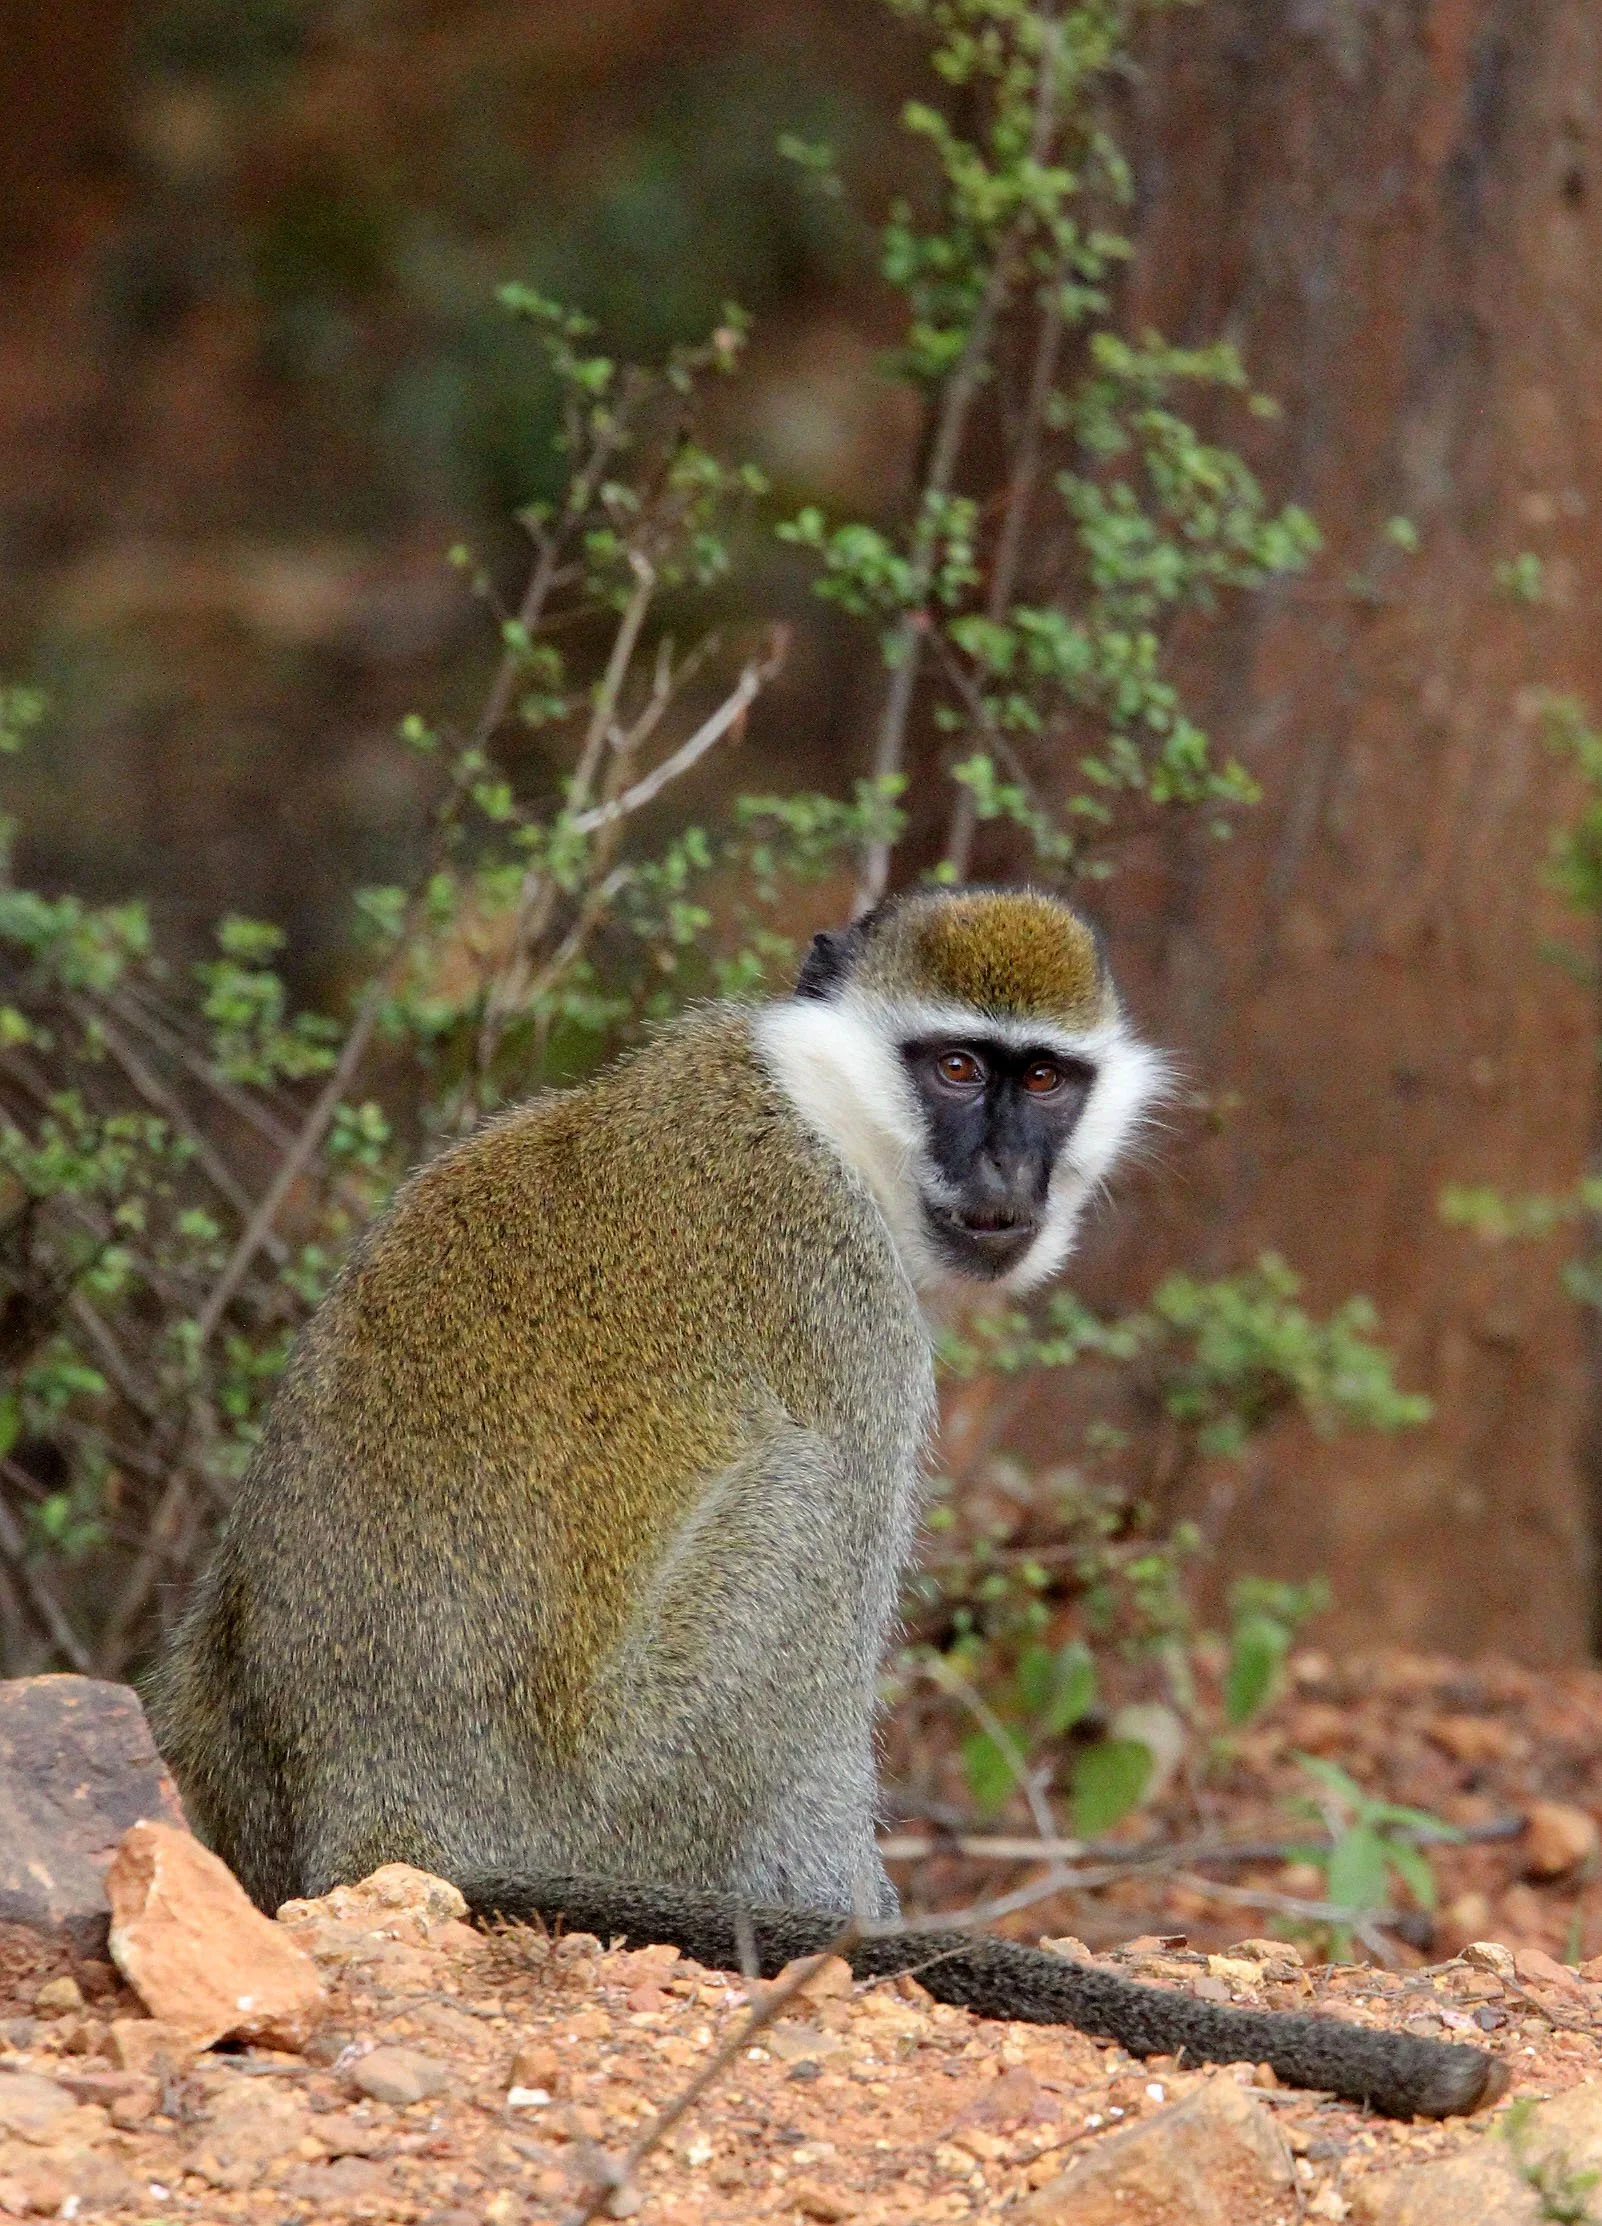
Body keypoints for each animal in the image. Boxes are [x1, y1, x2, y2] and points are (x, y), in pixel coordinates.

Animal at [147, 886, 1503, 2121]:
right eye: (955, 1068)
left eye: (1044, 1080)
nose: (1005, 1165)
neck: (821, 1111)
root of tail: (378, 1810)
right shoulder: (847, 1302)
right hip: (635, 1778)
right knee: (814, 1506)